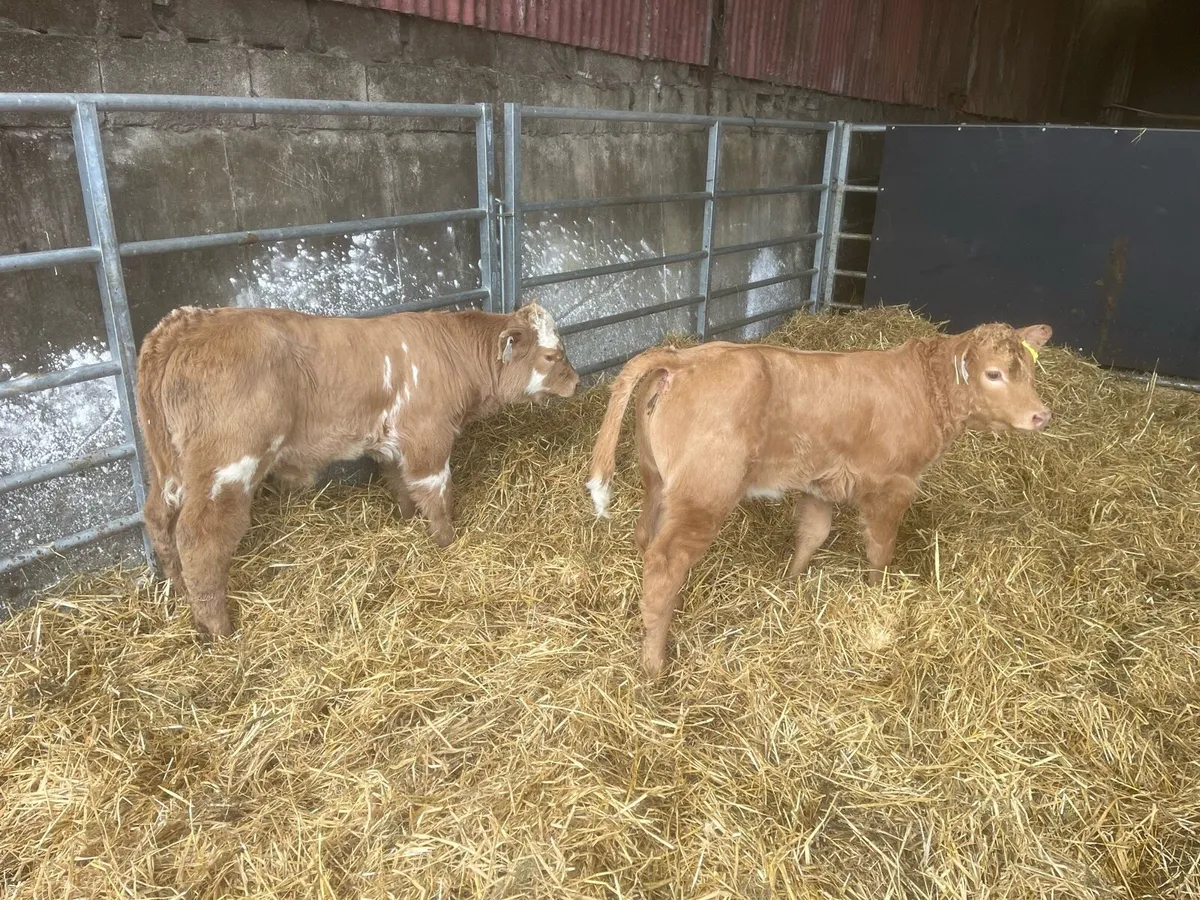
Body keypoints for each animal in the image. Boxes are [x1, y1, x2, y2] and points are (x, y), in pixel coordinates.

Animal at [136, 301, 579, 638]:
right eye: (551, 355)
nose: (575, 382)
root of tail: (186, 323)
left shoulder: (390, 443)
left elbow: (401, 485)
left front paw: (407, 521)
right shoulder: (428, 435)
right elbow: (436, 490)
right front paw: (446, 541)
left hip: (167, 468)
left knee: (159, 521)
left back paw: (180, 594)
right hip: (226, 467)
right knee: (199, 538)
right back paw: (219, 628)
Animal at [586, 322, 1053, 675]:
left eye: (1029, 370)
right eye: (993, 374)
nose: (1041, 415)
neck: (922, 389)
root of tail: (684, 357)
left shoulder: (820, 483)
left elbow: (813, 533)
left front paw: (790, 583)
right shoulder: (894, 484)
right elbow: (880, 548)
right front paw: (875, 595)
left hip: (656, 479)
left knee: (644, 536)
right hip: (704, 492)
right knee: (666, 562)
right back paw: (654, 663)